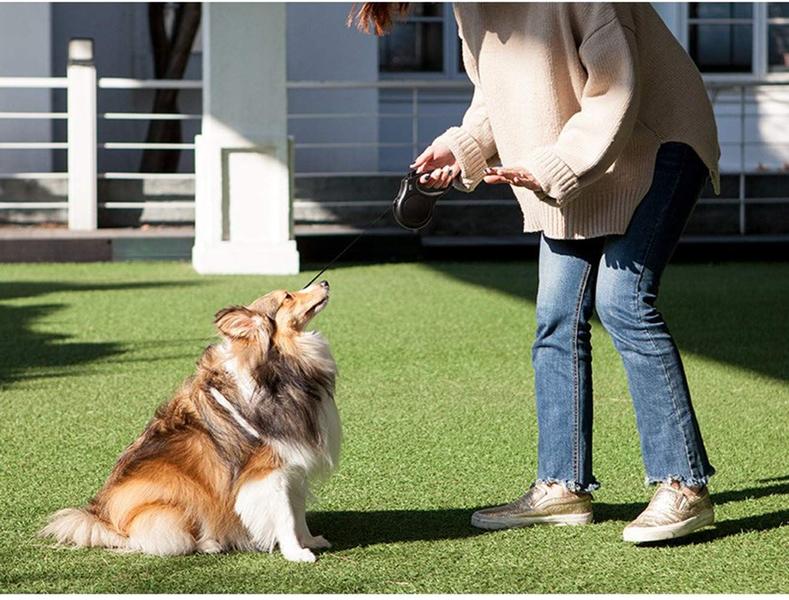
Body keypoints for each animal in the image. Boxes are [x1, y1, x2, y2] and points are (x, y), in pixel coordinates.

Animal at [40, 282, 338, 564]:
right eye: (287, 296)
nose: (324, 282)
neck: (278, 367)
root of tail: (104, 521)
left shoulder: (293, 466)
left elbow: (297, 511)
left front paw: (310, 541)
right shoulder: (268, 473)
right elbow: (285, 516)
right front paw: (297, 554)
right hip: (178, 501)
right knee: (155, 541)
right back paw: (208, 544)